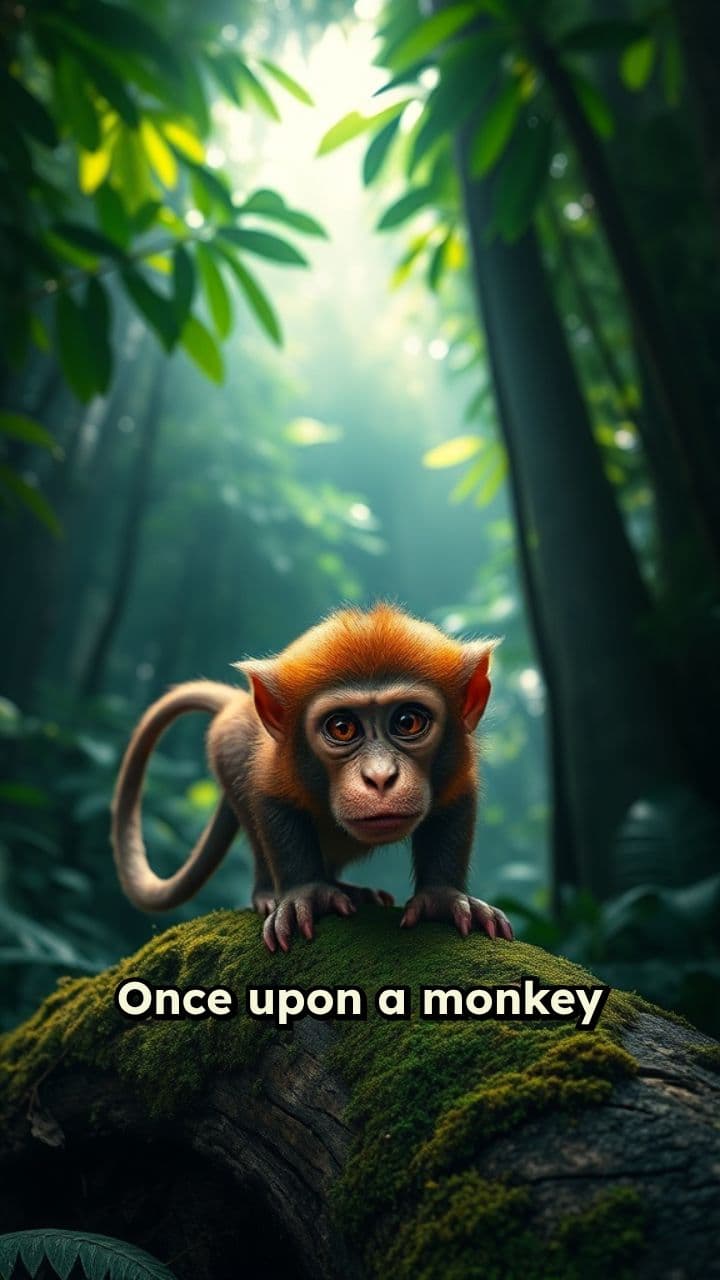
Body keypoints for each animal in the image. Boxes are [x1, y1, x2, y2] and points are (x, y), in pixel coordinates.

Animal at [112, 604, 514, 952]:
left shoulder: (455, 769)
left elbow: (455, 806)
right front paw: (306, 893)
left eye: (408, 721)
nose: (380, 776)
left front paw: (442, 898)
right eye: (342, 728)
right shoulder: (272, 765)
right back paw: (269, 892)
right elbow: (272, 803)